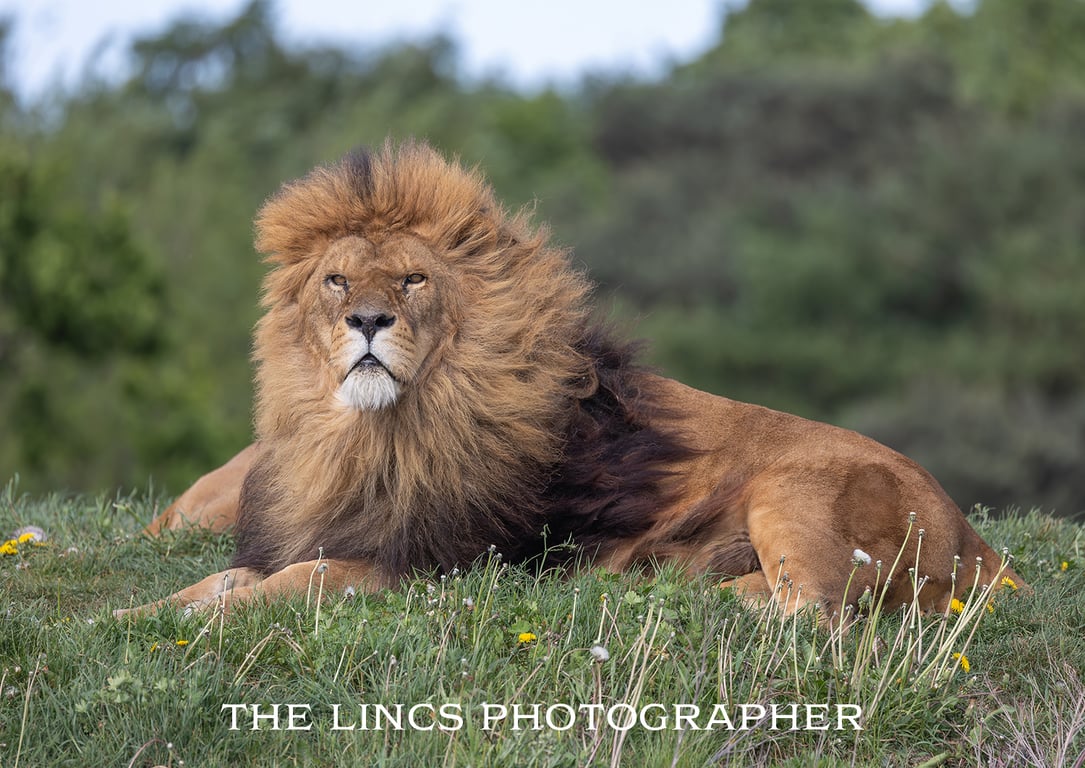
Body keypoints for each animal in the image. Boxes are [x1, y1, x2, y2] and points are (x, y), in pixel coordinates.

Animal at [120, 140, 1024, 619]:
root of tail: (975, 538)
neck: (366, 434)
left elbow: (285, 583)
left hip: (794, 491)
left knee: (816, 610)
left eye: (412, 280)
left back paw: (643, 596)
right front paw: (128, 616)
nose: (368, 322)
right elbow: (217, 580)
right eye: (337, 280)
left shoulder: (420, 567)